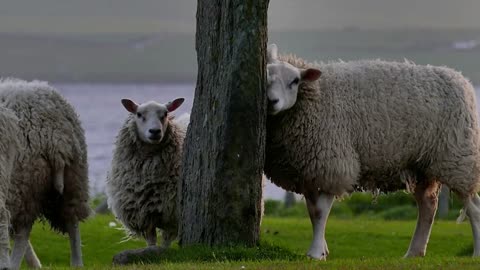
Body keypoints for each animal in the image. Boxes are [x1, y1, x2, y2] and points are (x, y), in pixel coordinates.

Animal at [106, 97, 188, 249]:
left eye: (165, 113)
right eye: (139, 114)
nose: (155, 131)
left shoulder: (172, 214)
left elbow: (166, 242)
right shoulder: (144, 215)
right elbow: (151, 240)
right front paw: (151, 250)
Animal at [264, 43, 480, 260]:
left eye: (295, 81)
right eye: (266, 76)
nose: (271, 101)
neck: (316, 96)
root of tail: (462, 80)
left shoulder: (334, 166)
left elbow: (320, 212)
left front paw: (316, 253)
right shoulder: (309, 172)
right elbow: (311, 212)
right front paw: (322, 249)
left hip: (458, 159)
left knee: (474, 208)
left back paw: (475, 252)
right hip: (421, 165)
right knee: (428, 206)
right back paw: (414, 253)